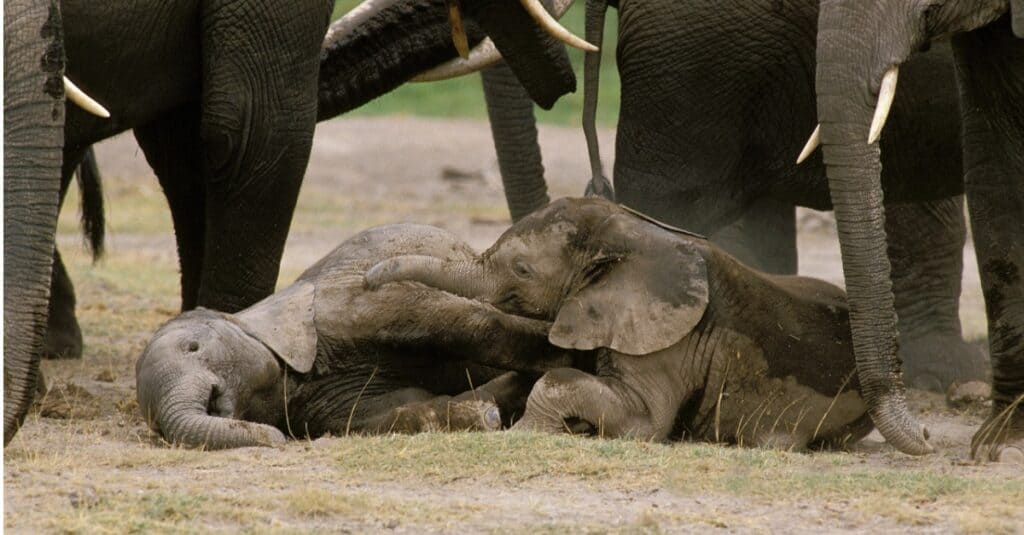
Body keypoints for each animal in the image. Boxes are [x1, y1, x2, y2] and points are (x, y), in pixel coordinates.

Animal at [134, 222, 577, 446]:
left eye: (193, 347)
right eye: (154, 426)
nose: (275, 440)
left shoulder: (351, 301)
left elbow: (465, 324)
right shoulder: (313, 405)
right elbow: (384, 414)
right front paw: (485, 411)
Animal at [366, 197, 872, 446]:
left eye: (522, 270)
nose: (369, 281)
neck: (629, 234)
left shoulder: (672, 341)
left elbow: (640, 420)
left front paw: (525, 433)